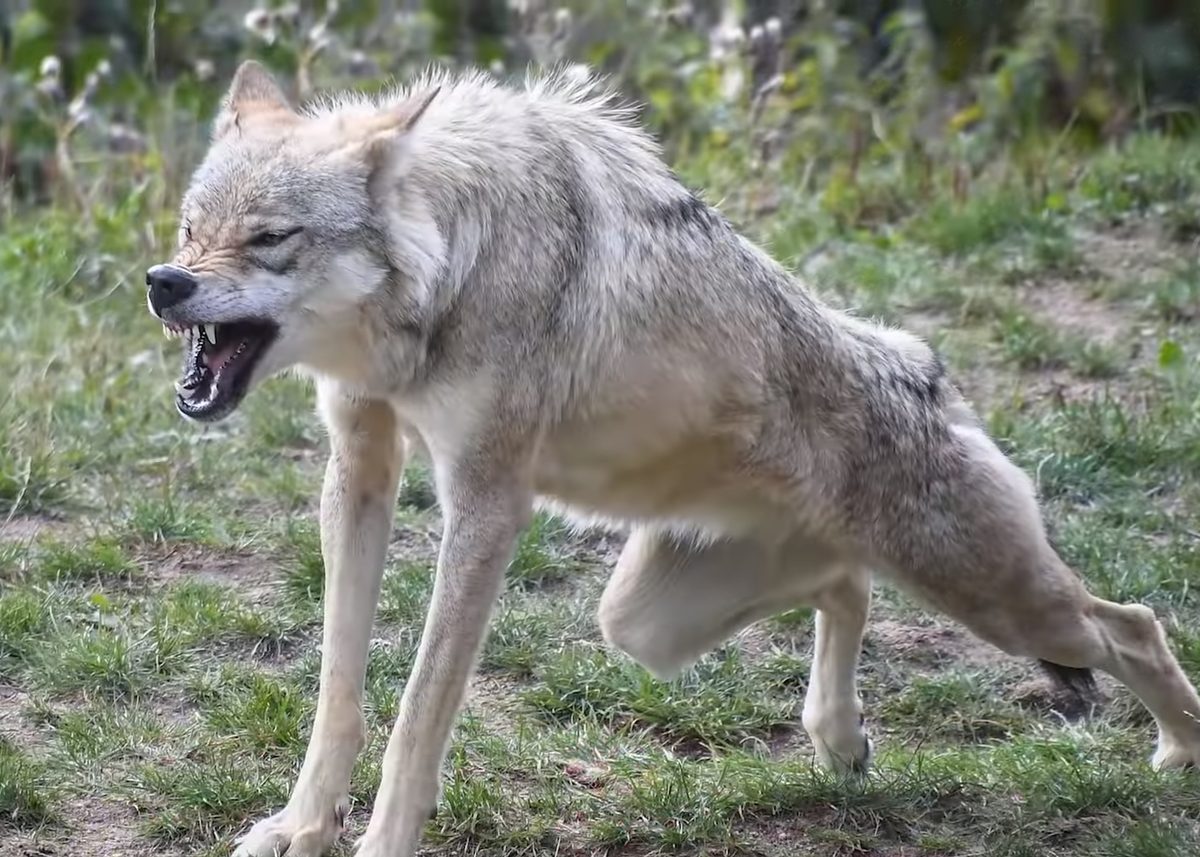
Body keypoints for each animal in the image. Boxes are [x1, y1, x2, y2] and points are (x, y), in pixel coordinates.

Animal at [147, 56, 1200, 849]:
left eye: (270, 238)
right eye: (191, 230)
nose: (164, 282)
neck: (450, 265)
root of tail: (930, 368)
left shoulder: (486, 503)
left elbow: (416, 713)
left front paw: (380, 841)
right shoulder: (359, 469)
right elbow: (339, 687)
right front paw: (298, 827)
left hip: (999, 602)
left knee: (1134, 624)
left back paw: (1180, 752)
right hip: (646, 624)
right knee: (847, 584)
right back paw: (840, 741)